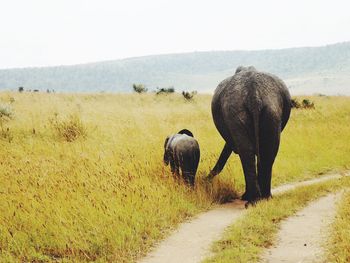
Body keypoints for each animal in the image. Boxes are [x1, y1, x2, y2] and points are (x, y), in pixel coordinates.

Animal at [206, 66, 292, 206]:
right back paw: (263, 199)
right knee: (266, 152)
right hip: (269, 112)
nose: (205, 179)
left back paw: (253, 200)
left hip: (239, 112)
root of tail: (254, 95)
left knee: (247, 152)